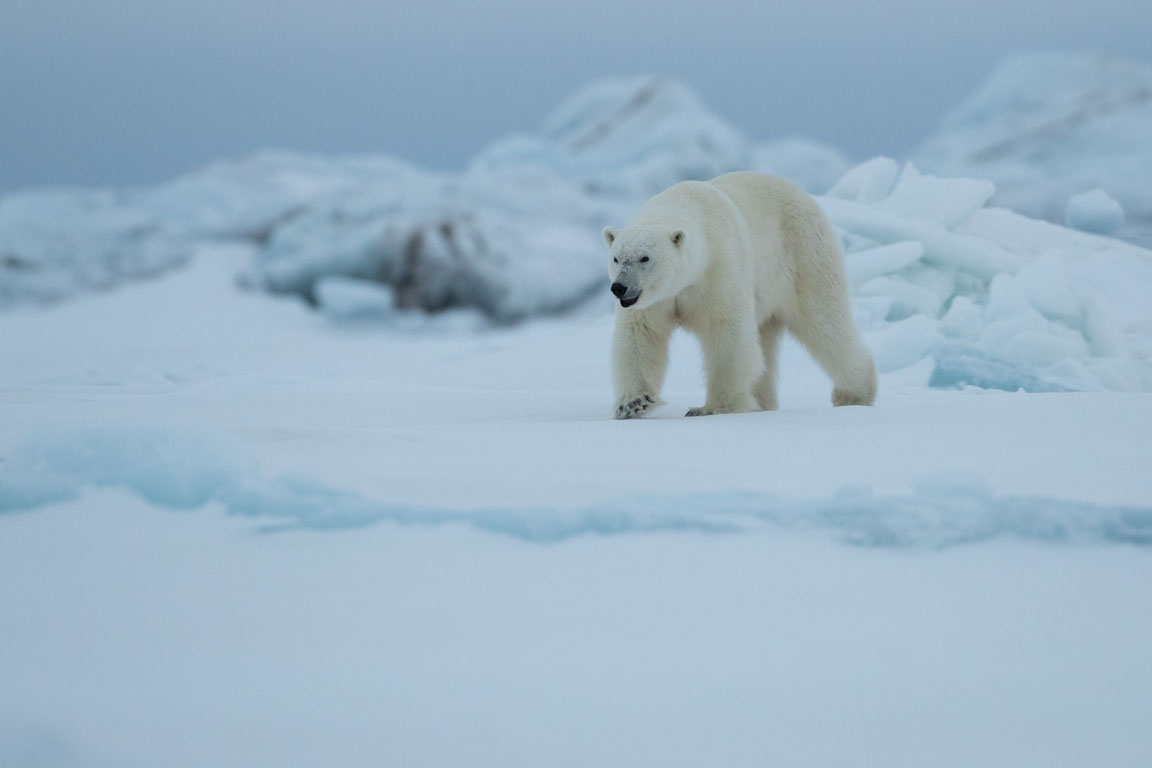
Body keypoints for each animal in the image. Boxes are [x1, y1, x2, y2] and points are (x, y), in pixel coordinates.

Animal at [603, 171, 870, 421]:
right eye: (616, 258)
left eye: (644, 258)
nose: (619, 287)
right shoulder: (654, 302)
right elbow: (641, 335)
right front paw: (634, 403)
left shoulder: (719, 267)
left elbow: (726, 330)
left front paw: (713, 408)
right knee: (766, 344)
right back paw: (762, 404)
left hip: (803, 257)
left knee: (825, 324)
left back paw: (854, 394)